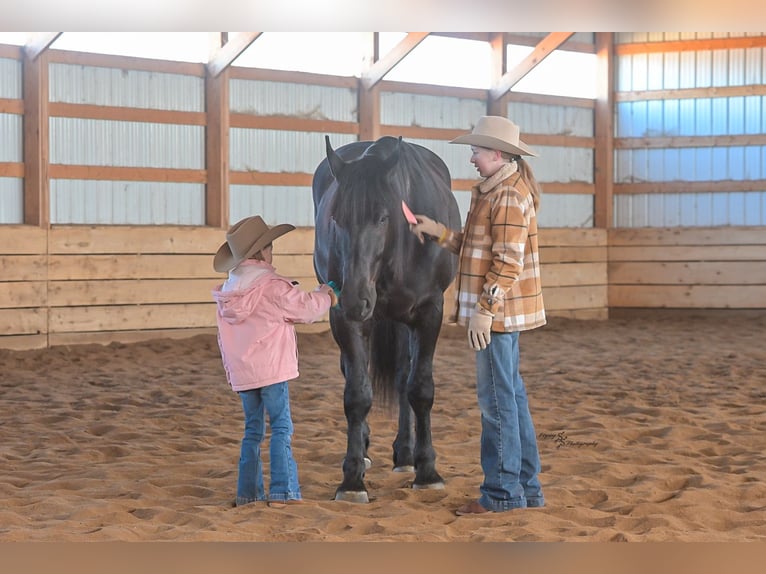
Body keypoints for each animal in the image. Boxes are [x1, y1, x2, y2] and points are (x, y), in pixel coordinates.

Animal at [312, 135, 461, 502]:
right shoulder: (344, 319)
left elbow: (420, 389)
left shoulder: (429, 313)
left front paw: (427, 471)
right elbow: (357, 394)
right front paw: (352, 478)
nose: (355, 298)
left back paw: (406, 455)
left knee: (404, 377)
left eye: (382, 217)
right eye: (335, 218)